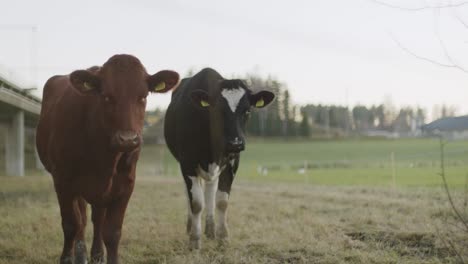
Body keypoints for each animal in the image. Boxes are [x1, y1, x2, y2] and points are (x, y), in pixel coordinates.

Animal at [36, 54, 179, 264]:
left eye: (143, 97)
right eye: (106, 96)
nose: (128, 139)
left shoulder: (125, 184)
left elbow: (111, 232)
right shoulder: (62, 179)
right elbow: (71, 224)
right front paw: (67, 258)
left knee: (96, 219)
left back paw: (96, 254)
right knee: (82, 219)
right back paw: (81, 254)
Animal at [165, 68, 274, 250]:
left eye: (247, 111)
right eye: (216, 111)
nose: (235, 143)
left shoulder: (231, 162)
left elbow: (222, 201)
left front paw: (223, 238)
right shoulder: (187, 162)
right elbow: (196, 202)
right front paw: (194, 240)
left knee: (210, 190)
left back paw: (210, 229)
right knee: (190, 195)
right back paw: (190, 226)